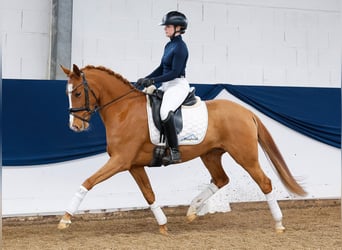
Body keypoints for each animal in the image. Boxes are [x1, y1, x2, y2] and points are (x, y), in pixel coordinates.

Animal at [57, 64, 306, 234]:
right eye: (67, 94)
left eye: (77, 93)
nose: (75, 126)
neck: (123, 109)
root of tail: (247, 112)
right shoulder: (134, 165)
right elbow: (148, 194)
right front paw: (163, 225)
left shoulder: (119, 161)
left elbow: (87, 183)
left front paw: (65, 218)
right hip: (210, 155)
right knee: (221, 179)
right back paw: (193, 210)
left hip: (245, 156)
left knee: (264, 182)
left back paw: (279, 224)